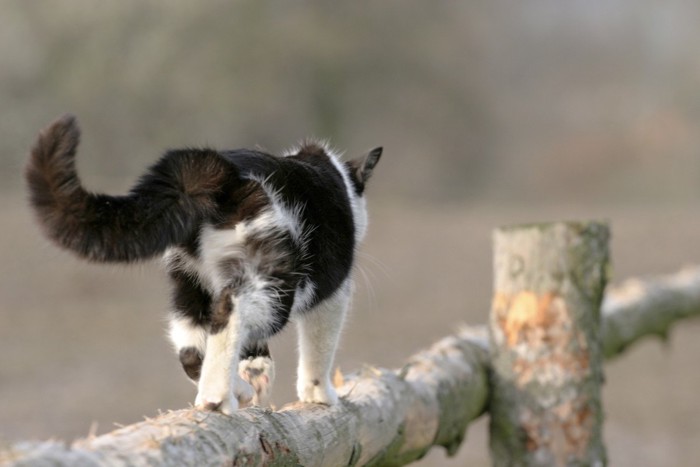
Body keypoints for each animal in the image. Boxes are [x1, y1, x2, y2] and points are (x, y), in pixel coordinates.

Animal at [24, 115, 380, 414]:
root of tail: (218, 170)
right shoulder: (333, 295)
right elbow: (319, 349)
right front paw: (320, 396)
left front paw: (257, 372)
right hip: (275, 281)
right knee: (230, 310)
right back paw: (218, 397)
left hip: (189, 281)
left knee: (191, 346)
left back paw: (238, 389)